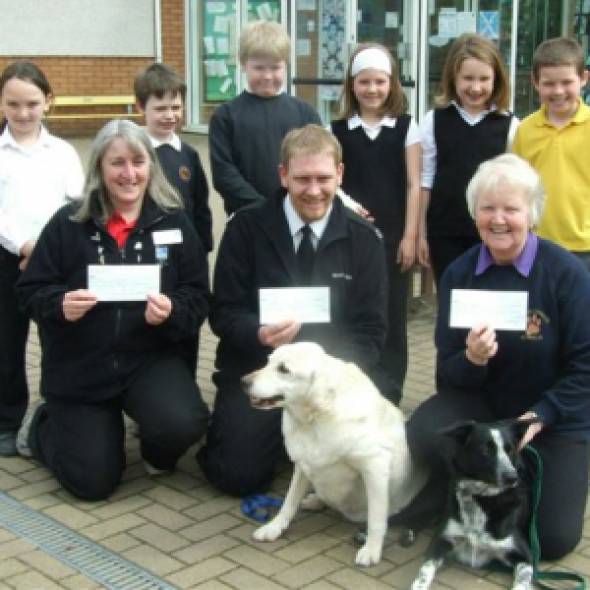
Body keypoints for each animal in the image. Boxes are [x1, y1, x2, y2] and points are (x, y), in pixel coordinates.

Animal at [243, 342, 428, 568]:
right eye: (268, 361)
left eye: (284, 369)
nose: (244, 382)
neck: (317, 418)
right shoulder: (302, 463)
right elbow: (288, 502)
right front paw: (274, 527)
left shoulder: (375, 465)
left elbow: (376, 518)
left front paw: (371, 549)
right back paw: (313, 500)